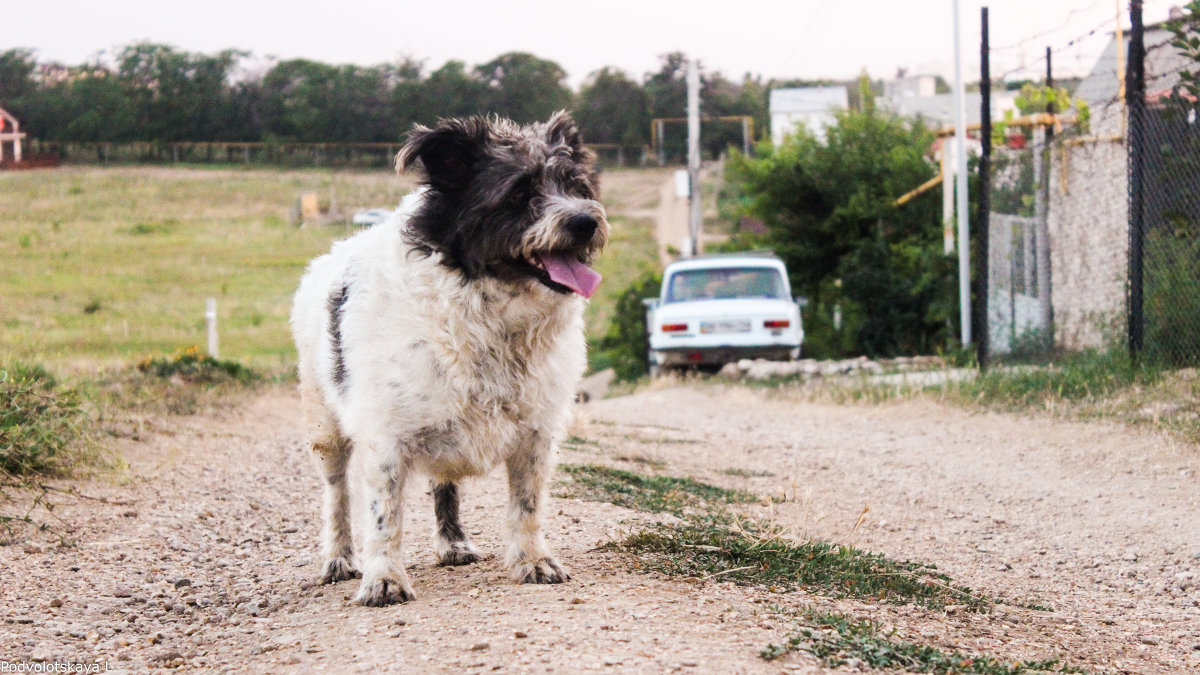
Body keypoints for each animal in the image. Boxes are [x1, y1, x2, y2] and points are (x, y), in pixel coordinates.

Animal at [291, 110, 609, 605]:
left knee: (444, 482)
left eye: (578, 187)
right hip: (324, 426)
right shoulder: (385, 437)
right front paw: (383, 578)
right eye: (518, 194)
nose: (585, 222)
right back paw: (340, 559)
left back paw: (453, 543)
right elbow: (384, 517)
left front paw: (533, 560)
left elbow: (527, 505)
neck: (491, 316)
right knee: (337, 494)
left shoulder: (536, 433)